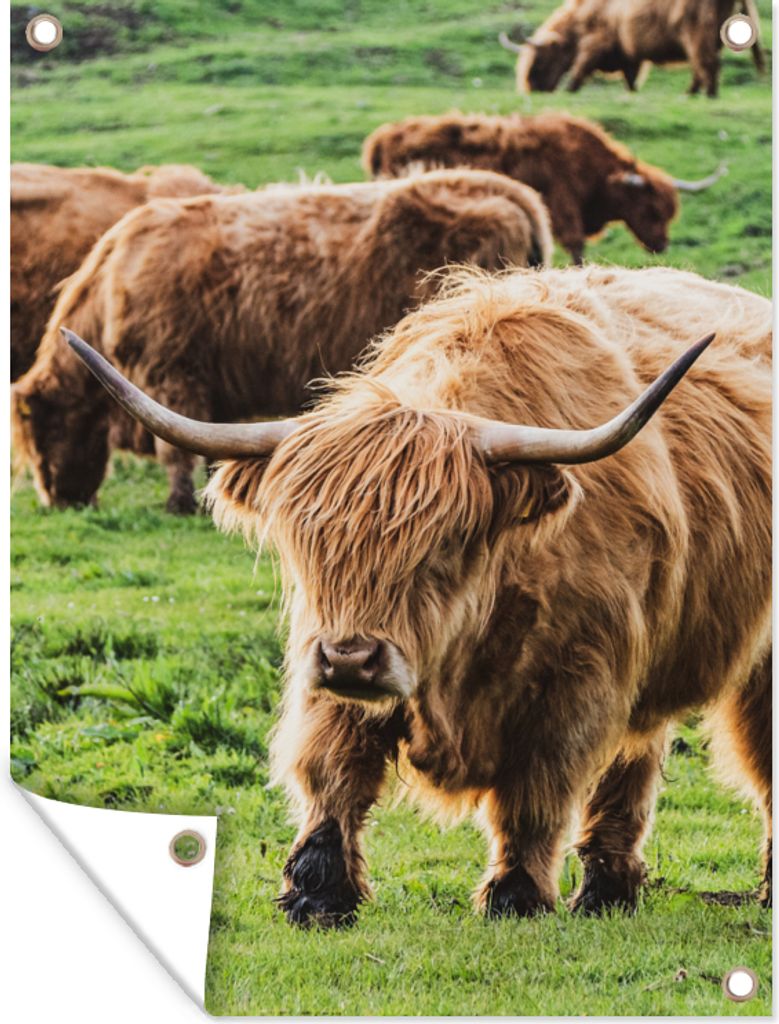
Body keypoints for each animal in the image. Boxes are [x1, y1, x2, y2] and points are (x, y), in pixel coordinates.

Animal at [64, 263, 771, 927]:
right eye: (307, 545)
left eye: (443, 547)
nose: (352, 659)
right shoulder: (326, 659)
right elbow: (332, 770)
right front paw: (317, 893)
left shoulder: (578, 681)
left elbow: (537, 792)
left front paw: (515, 895)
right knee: (637, 758)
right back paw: (607, 891)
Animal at [362, 112, 725, 264]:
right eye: (651, 209)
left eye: (669, 212)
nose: (662, 244)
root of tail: (383, 136)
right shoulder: (563, 207)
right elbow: (577, 248)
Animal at [498, 0, 765, 97]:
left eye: (540, 62)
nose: (532, 89)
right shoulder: (628, 53)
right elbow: (631, 78)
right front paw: (632, 92)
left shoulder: (596, 42)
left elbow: (581, 67)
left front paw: (570, 89)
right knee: (703, 65)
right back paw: (693, 92)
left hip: (697, 33)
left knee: (708, 63)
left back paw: (707, 94)